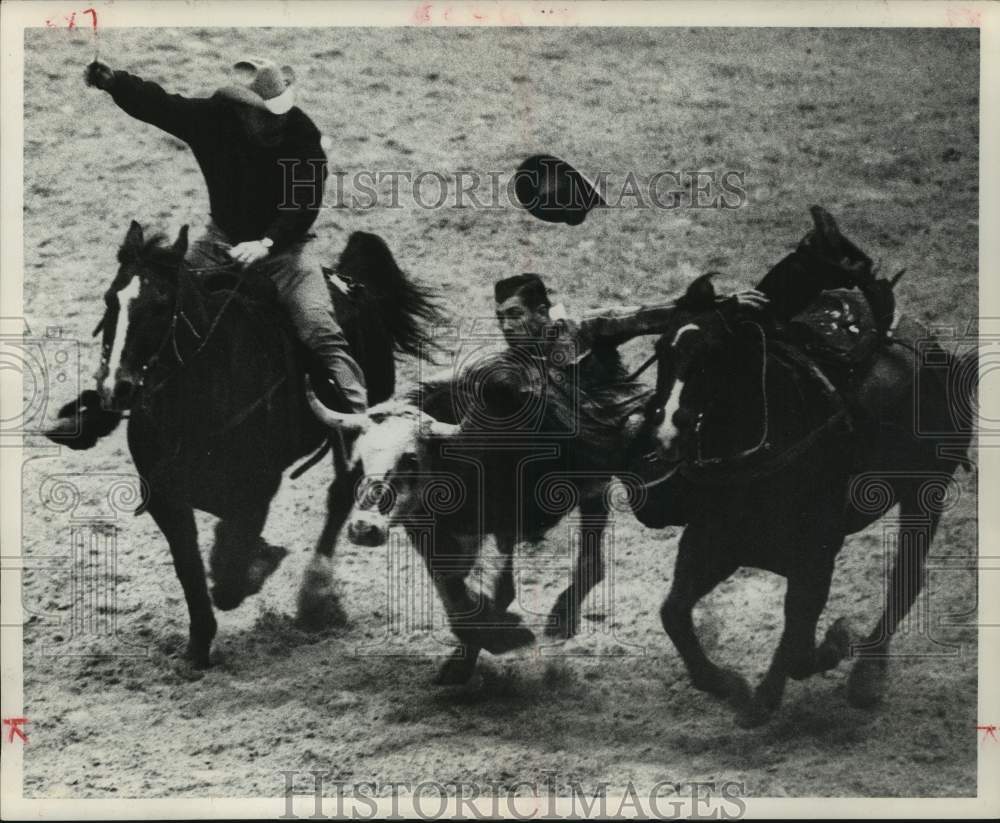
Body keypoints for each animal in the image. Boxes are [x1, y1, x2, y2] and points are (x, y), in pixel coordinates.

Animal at [47, 222, 438, 672]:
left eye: (161, 304)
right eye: (111, 298)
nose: (116, 387)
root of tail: (354, 283)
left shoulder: (257, 487)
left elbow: (232, 565)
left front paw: (255, 568)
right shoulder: (164, 494)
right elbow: (190, 563)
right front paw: (199, 644)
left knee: (340, 495)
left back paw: (316, 598)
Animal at [632, 274, 976, 724]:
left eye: (714, 356)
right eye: (661, 350)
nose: (668, 432)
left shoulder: (816, 556)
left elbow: (797, 641)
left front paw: (831, 645)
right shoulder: (712, 543)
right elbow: (674, 613)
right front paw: (729, 685)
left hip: (925, 492)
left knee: (906, 579)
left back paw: (867, 676)